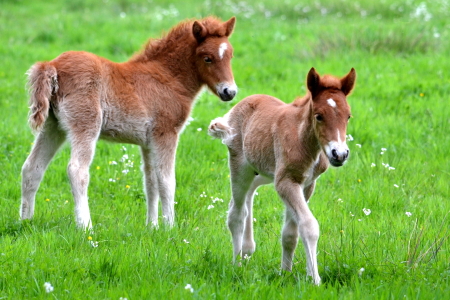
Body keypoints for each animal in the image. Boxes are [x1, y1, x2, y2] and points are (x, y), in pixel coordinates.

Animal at [20, 16, 239, 230]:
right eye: (207, 58)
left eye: (230, 55)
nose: (229, 92)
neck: (168, 78)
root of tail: (53, 65)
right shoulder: (166, 133)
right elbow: (167, 181)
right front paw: (170, 228)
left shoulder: (148, 142)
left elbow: (150, 181)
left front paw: (152, 227)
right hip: (85, 124)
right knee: (77, 170)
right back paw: (86, 227)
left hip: (53, 126)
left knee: (32, 167)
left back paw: (25, 221)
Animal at [209, 67, 356, 284]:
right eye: (319, 116)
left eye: (348, 116)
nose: (339, 154)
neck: (303, 139)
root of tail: (236, 108)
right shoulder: (286, 182)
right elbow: (309, 225)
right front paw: (315, 280)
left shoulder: (306, 184)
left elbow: (290, 233)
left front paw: (285, 273)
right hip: (240, 167)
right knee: (236, 213)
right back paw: (237, 263)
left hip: (263, 171)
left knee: (248, 195)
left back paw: (247, 250)